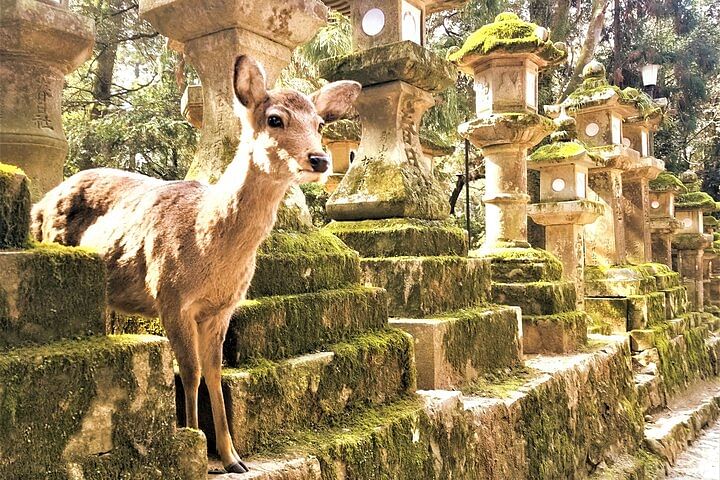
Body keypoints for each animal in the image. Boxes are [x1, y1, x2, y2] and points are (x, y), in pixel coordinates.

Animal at [31, 55, 362, 472]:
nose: (318, 159)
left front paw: (233, 457)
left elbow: (215, 373)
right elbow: (188, 373)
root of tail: (38, 204)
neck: (208, 247)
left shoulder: (222, 309)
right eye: (275, 119)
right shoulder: (170, 296)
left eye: (319, 124)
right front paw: (194, 445)